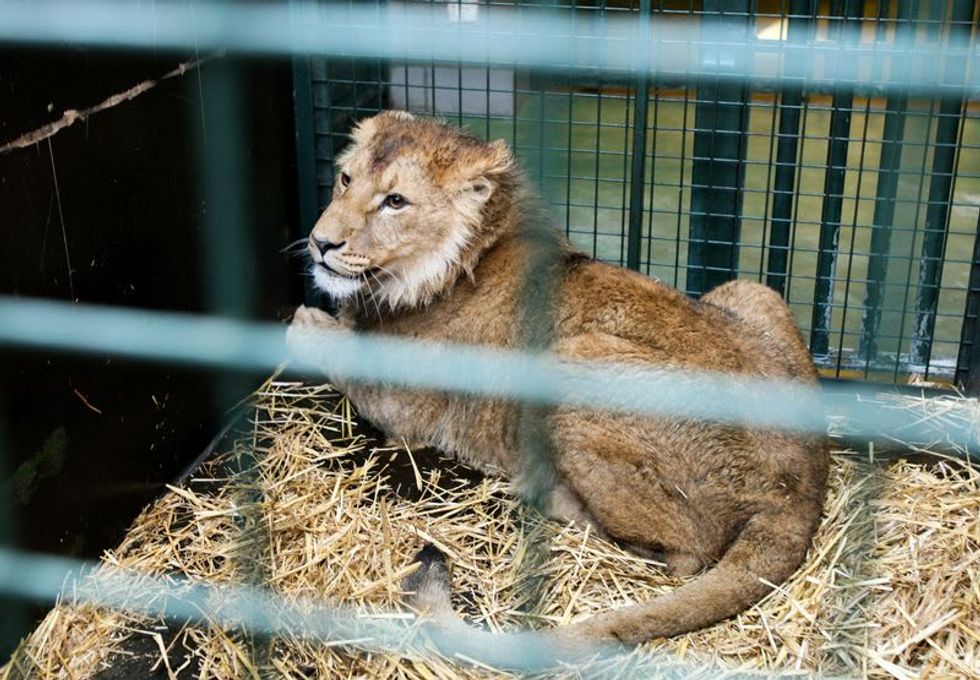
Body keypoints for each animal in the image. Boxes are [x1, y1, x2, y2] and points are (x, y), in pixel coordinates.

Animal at [287, 111, 829, 667]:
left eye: (395, 201)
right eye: (346, 179)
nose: (320, 243)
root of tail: (805, 485)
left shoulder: (403, 410)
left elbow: (333, 349)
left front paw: (307, 322)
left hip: (573, 362)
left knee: (684, 556)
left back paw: (545, 493)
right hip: (752, 291)